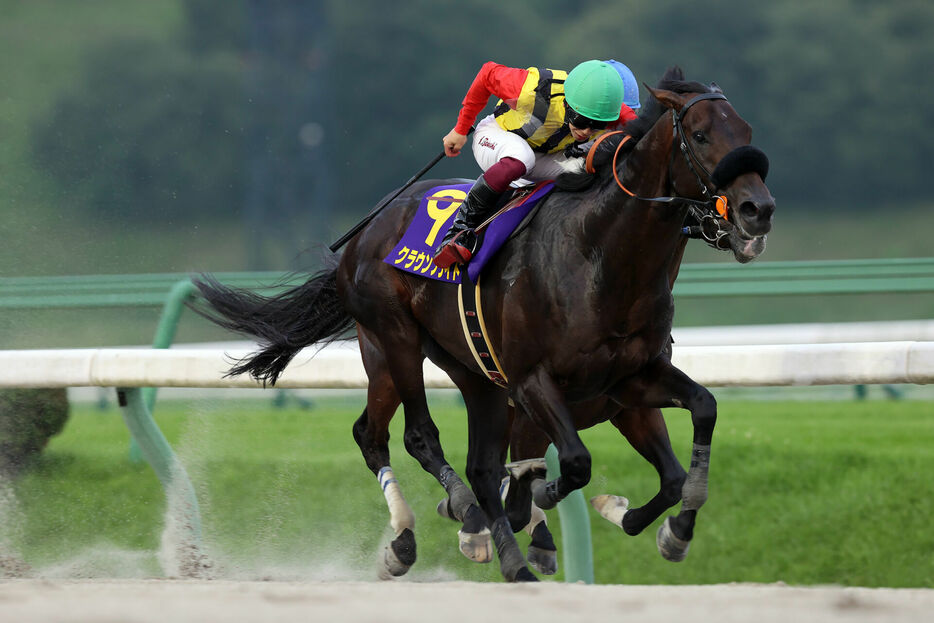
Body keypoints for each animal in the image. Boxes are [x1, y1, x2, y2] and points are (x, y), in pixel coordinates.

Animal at [192, 70, 776, 584]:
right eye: (700, 135)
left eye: (748, 133)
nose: (758, 210)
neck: (600, 258)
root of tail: (364, 233)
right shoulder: (534, 382)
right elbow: (573, 464)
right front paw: (539, 504)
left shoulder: (629, 383)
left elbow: (694, 431)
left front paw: (661, 528)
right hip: (394, 340)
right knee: (418, 436)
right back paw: (462, 524)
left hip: (462, 372)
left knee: (400, 442)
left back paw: (462, 542)